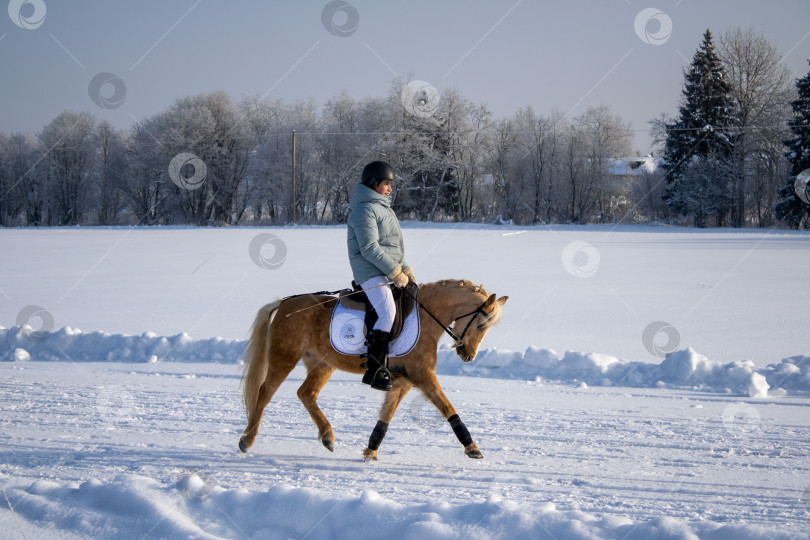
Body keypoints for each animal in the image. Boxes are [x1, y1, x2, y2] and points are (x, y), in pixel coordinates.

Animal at [238, 279, 508, 461]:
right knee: (264, 393)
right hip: (284, 357)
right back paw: (247, 439)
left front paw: (371, 450)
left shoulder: (403, 381)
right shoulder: (423, 375)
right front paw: (472, 448)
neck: (427, 316)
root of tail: (284, 303)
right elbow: (448, 407)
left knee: (306, 393)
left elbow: (386, 415)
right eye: (481, 324)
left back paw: (327, 437)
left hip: (323, 364)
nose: (469, 356)